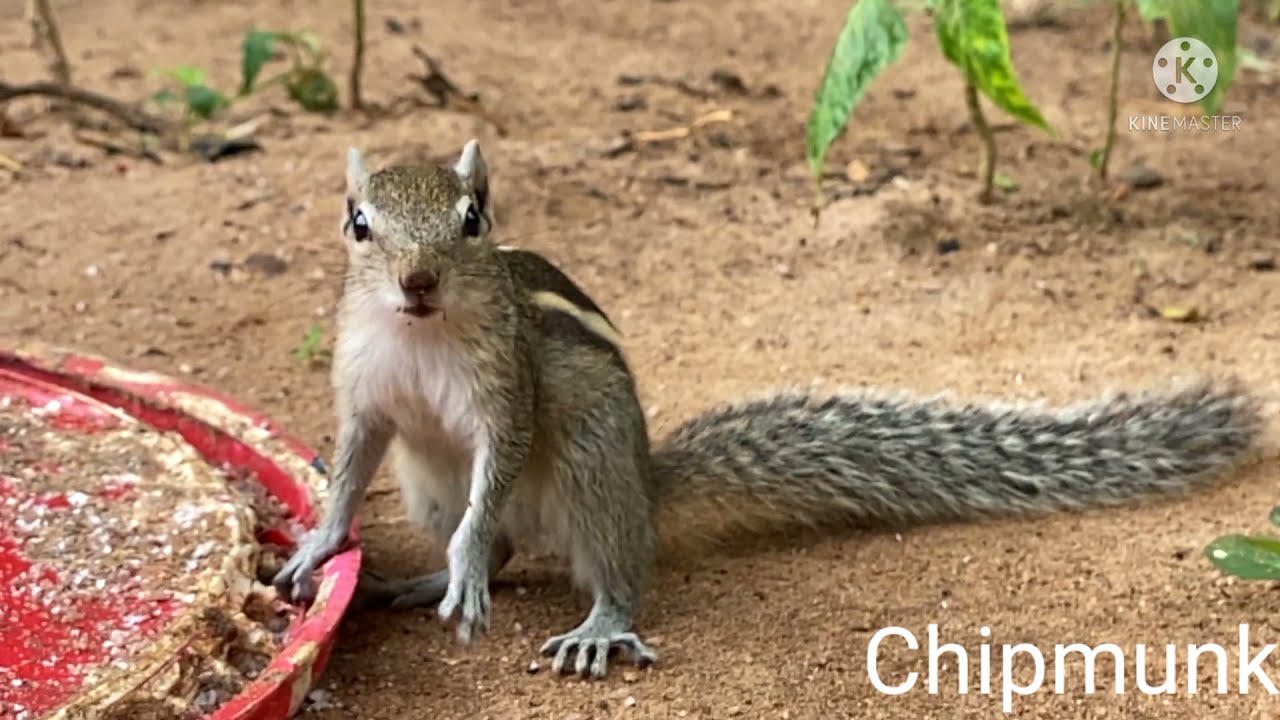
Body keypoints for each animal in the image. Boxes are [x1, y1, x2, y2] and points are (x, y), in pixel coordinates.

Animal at [273, 138, 1266, 680]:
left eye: (472, 219)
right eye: (359, 223)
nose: (418, 281)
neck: (421, 338)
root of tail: (647, 485)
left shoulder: (506, 395)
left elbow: (500, 469)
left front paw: (465, 570)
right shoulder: (369, 403)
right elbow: (349, 469)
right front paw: (323, 547)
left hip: (593, 462)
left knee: (601, 562)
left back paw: (595, 624)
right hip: (426, 479)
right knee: (503, 537)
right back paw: (427, 580)